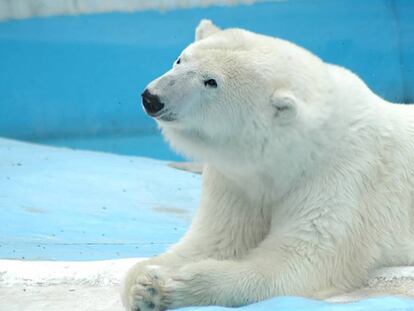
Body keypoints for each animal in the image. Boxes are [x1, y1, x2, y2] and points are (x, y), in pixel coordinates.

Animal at [121, 20, 414, 310]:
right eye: (180, 59)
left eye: (211, 82)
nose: (152, 98)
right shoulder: (237, 180)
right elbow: (217, 239)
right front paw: (144, 283)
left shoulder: (342, 176)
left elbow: (301, 258)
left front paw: (172, 287)